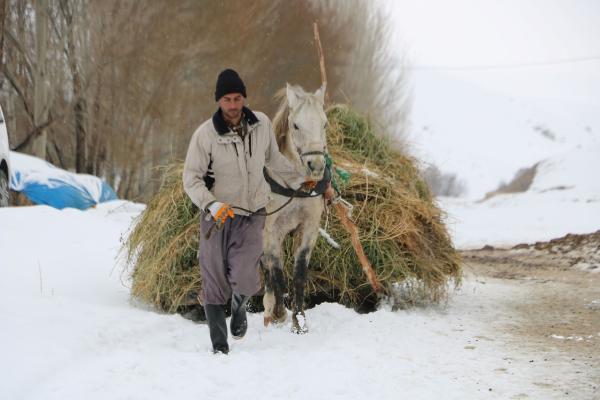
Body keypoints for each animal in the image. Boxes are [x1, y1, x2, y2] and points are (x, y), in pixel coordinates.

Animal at [262, 83, 328, 334]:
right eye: (296, 125)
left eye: (324, 123)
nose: (316, 165)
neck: (296, 186)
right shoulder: (272, 231)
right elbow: (277, 273)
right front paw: (280, 313)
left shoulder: (308, 228)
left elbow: (299, 272)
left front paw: (299, 320)